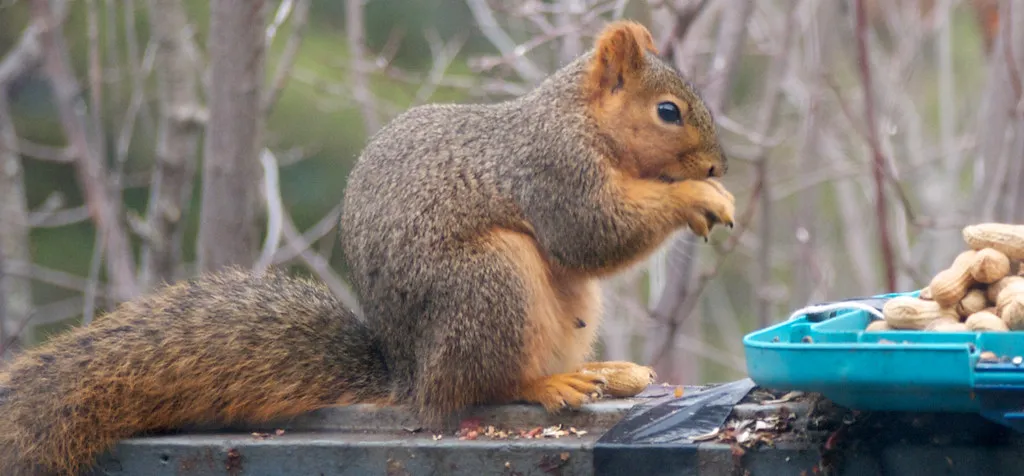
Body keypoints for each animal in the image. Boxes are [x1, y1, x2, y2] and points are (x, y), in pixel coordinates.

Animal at [0, 20, 735, 476]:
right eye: (668, 111)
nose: (716, 166)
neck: (580, 121)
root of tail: (408, 374)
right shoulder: (554, 171)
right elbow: (592, 230)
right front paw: (696, 199)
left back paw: (609, 371)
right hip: (491, 279)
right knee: (486, 383)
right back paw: (552, 382)